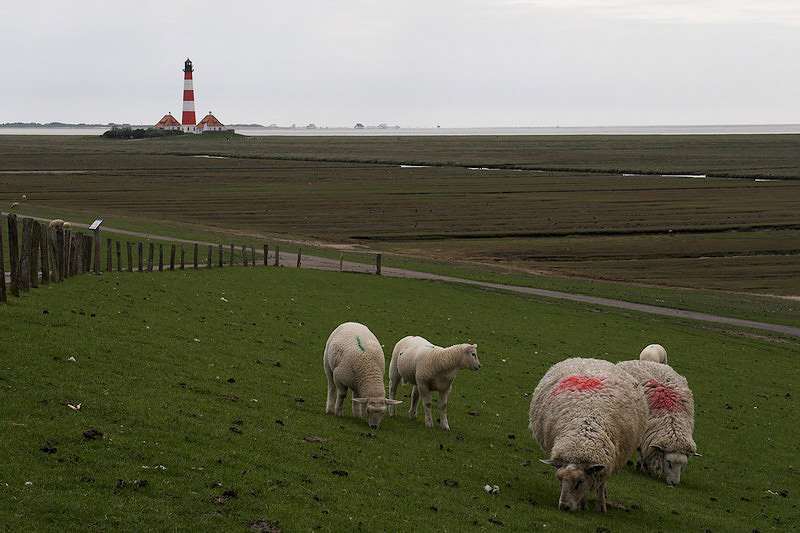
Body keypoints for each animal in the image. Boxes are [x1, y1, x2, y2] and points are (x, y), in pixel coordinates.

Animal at [528, 358, 648, 512]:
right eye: (559, 480)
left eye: (580, 482)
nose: (564, 507)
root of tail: (593, 359)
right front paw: (583, 504)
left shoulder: (607, 462)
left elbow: (601, 484)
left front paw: (601, 505)